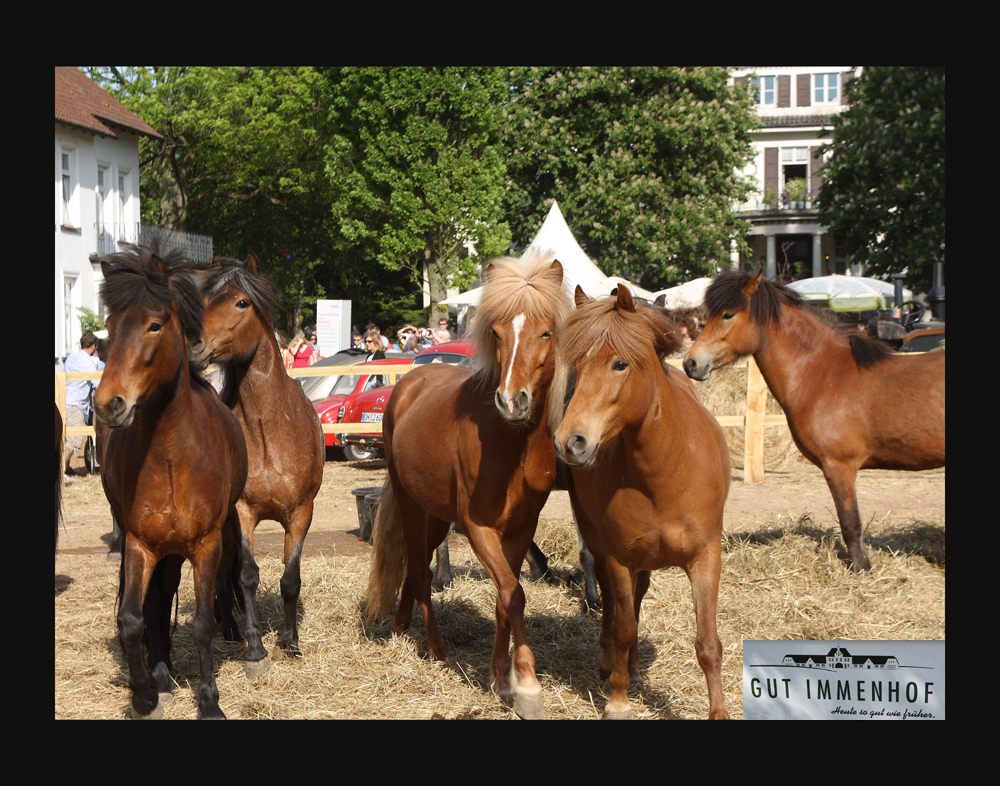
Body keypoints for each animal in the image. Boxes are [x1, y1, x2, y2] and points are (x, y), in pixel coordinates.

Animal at [94, 245, 248, 716]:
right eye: (110, 327)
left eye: (154, 324)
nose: (108, 403)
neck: (169, 458)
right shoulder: (140, 543)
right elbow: (131, 619)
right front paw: (144, 693)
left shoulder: (206, 544)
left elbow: (202, 624)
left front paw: (210, 702)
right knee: (157, 600)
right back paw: (160, 674)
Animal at [193, 253, 322, 672]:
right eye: (203, 299)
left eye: (241, 302)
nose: (193, 344)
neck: (270, 433)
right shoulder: (243, 513)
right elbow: (247, 576)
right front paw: (255, 648)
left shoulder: (301, 513)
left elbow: (290, 579)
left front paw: (290, 641)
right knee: (222, 576)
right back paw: (231, 629)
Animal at [366, 251, 572, 716]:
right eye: (496, 332)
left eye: (546, 332)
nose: (511, 401)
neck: (510, 442)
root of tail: (408, 383)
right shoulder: (479, 528)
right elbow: (514, 594)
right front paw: (527, 686)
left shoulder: (521, 528)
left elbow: (504, 599)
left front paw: (500, 677)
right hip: (410, 504)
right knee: (419, 573)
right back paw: (435, 649)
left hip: (436, 516)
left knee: (419, 569)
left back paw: (401, 626)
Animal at [552, 284, 732, 720]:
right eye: (576, 364)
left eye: (619, 363)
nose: (570, 441)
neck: (665, 471)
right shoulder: (620, 557)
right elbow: (623, 626)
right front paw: (618, 701)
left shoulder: (706, 557)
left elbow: (707, 642)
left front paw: (718, 711)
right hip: (597, 539)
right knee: (613, 604)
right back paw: (612, 665)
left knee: (636, 599)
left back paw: (632, 668)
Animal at [688, 270, 944, 568]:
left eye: (727, 314)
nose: (691, 363)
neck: (826, 374)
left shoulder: (839, 467)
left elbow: (850, 523)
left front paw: (861, 568)